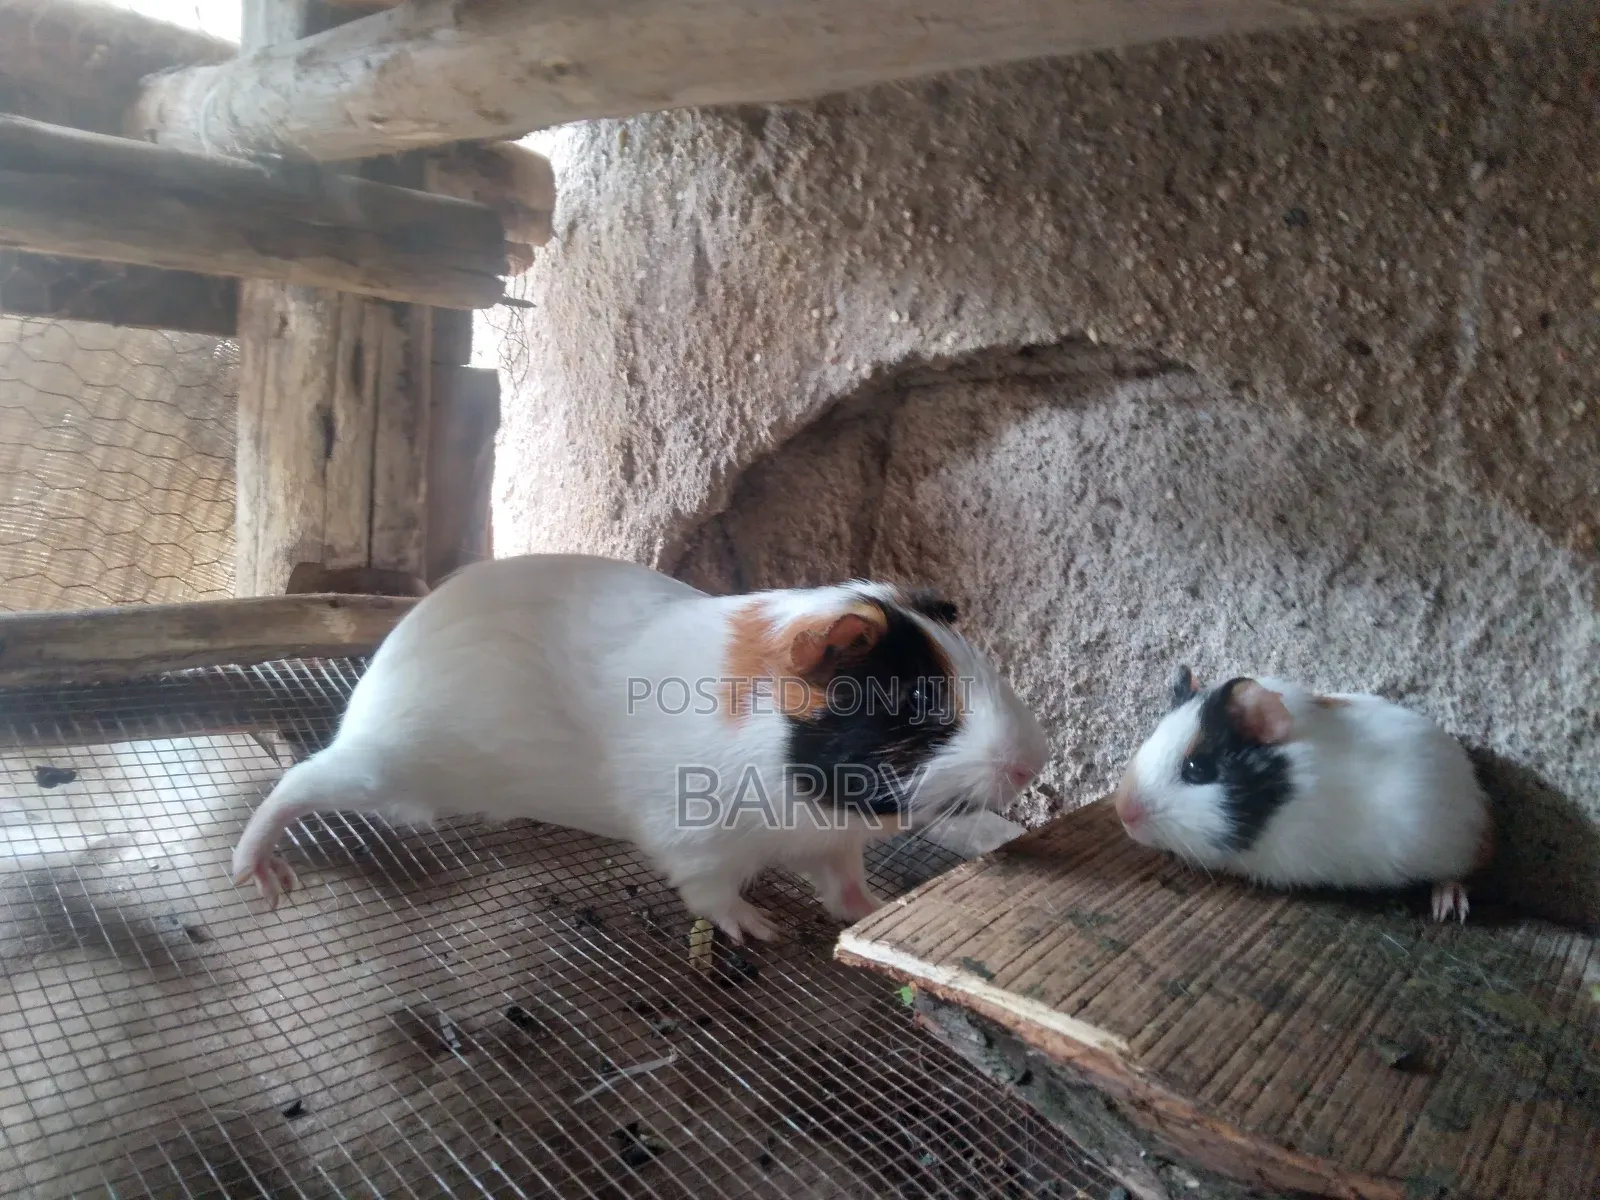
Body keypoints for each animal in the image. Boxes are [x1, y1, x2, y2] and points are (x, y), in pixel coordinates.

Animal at [231, 553, 1050, 942]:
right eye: (916, 704)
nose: (1031, 762)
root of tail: (377, 681)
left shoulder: (830, 842)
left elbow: (844, 884)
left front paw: (868, 911)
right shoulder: (696, 844)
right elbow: (712, 895)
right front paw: (762, 929)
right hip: (384, 773)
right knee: (293, 788)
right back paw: (261, 877)